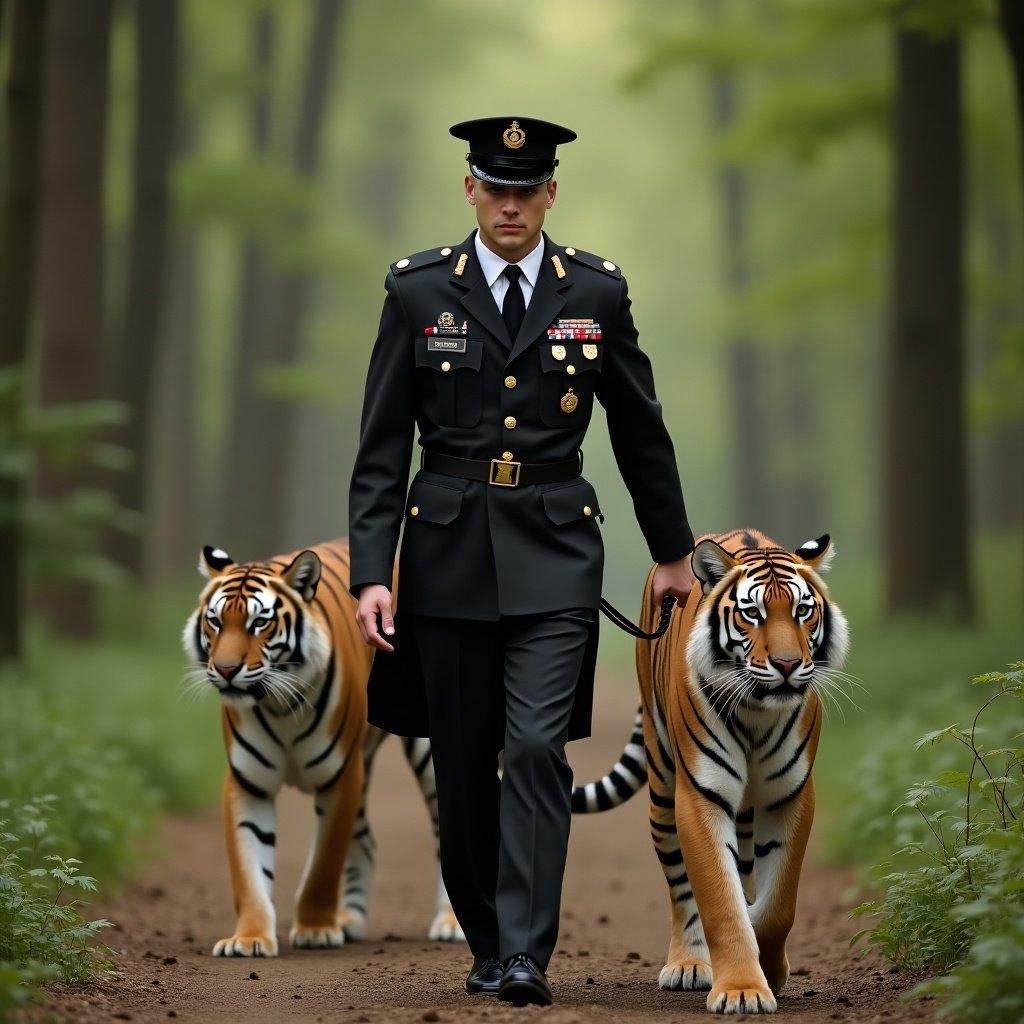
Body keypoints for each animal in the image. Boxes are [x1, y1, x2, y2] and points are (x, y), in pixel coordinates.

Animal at [181, 540, 464, 954]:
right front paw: (249, 938)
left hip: (427, 753)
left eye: (259, 623)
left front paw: (315, 930)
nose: (227, 669)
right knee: (367, 841)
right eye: (215, 621)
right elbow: (248, 871)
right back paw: (349, 920)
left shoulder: (340, 777)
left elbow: (323, 866)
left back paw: (452, 923)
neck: (278, 704)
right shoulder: (247, 783)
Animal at [573, 532, 851, 1011]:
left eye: (802, 611)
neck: (757, 712)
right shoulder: (702, 795)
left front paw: (770, 969)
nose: (787, 664)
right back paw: (688, 963)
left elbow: (778, 904)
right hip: (663, 790)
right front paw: (742, 988)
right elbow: (720, 902)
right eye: (752, 613)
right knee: (681, 886)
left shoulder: (790, 795)